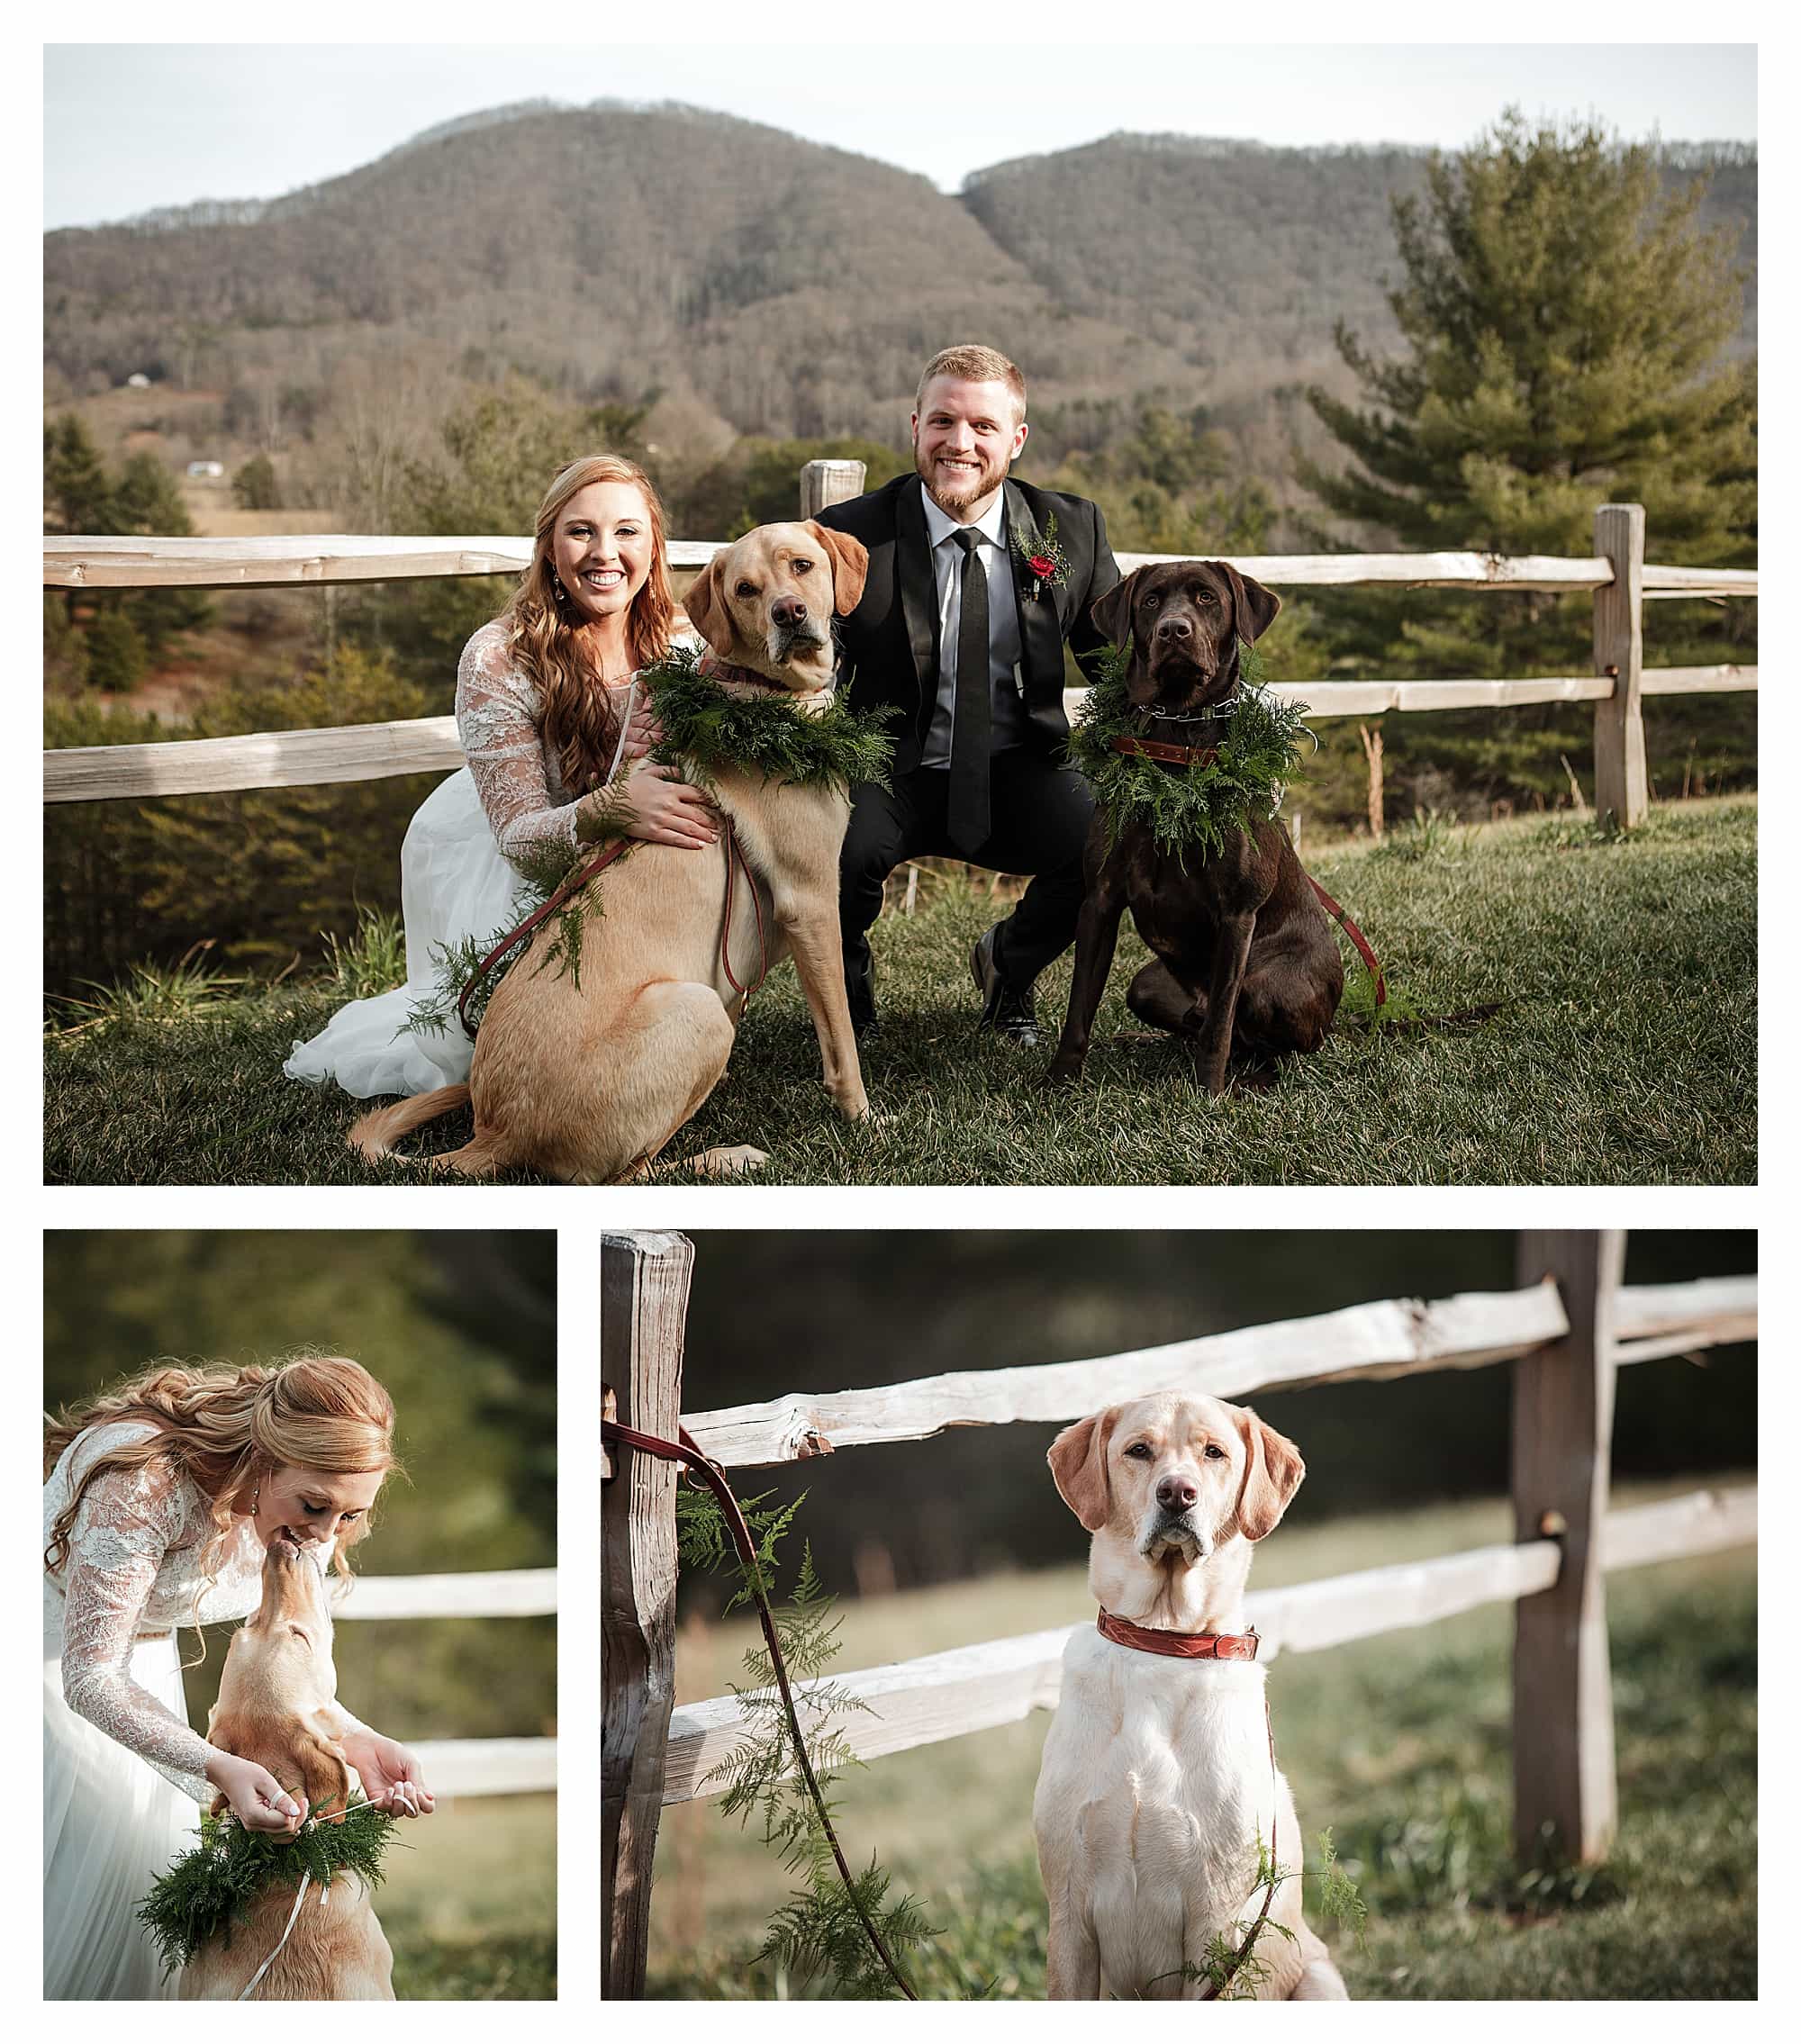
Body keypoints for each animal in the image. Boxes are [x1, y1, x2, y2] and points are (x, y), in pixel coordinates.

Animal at [349, 523, 871, 1185]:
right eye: (746, 590)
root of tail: (495, 1131)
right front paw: (864, 1118)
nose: (789, 613)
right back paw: (727, 1157)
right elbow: (841, 1035)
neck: (758, 696)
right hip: (697, 1008)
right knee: (631, 1174)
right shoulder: (811, 901)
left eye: (801, 566)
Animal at [1034, 1389, 1341, 1994]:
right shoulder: (1068, 1914)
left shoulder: (1218, 1921)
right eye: (1138, 1450)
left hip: (1318, 1979)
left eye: (1214, 1452)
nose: (1177, 1493)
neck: (1164, 1640)